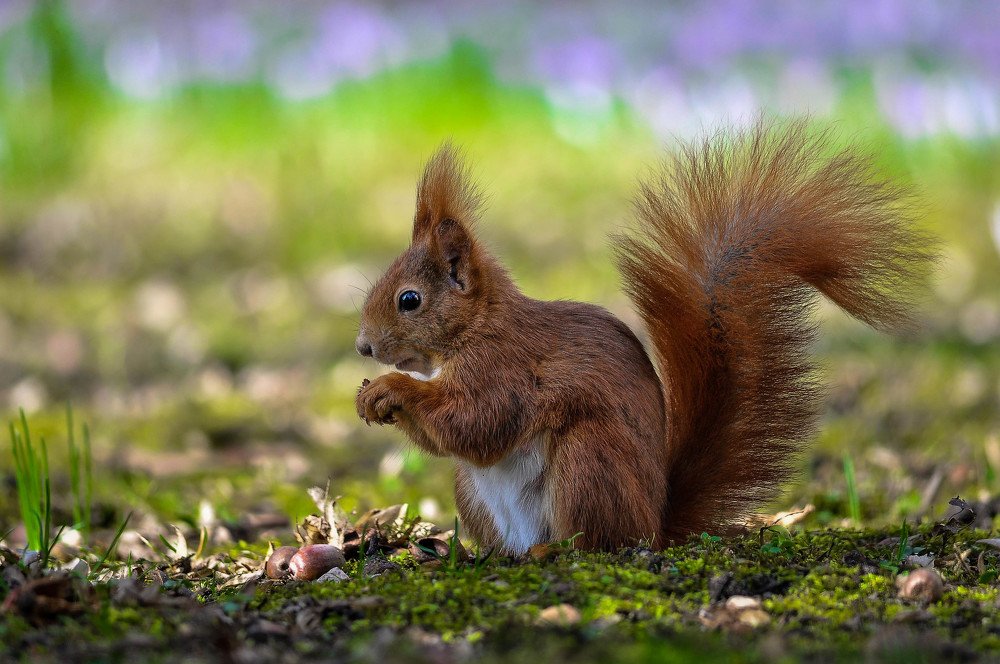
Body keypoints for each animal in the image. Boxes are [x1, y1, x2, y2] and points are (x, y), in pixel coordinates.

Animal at [354, 120, 933, 554]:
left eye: (410, 300)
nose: (364, 347)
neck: (474, 329)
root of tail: (656, 524)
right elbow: (453, 438)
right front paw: (371, 398)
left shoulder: (505, 366)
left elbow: (477, 421)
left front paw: (390, 389)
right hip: (475, 492)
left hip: (589, 462)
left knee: (597, 542)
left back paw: (553, 551)